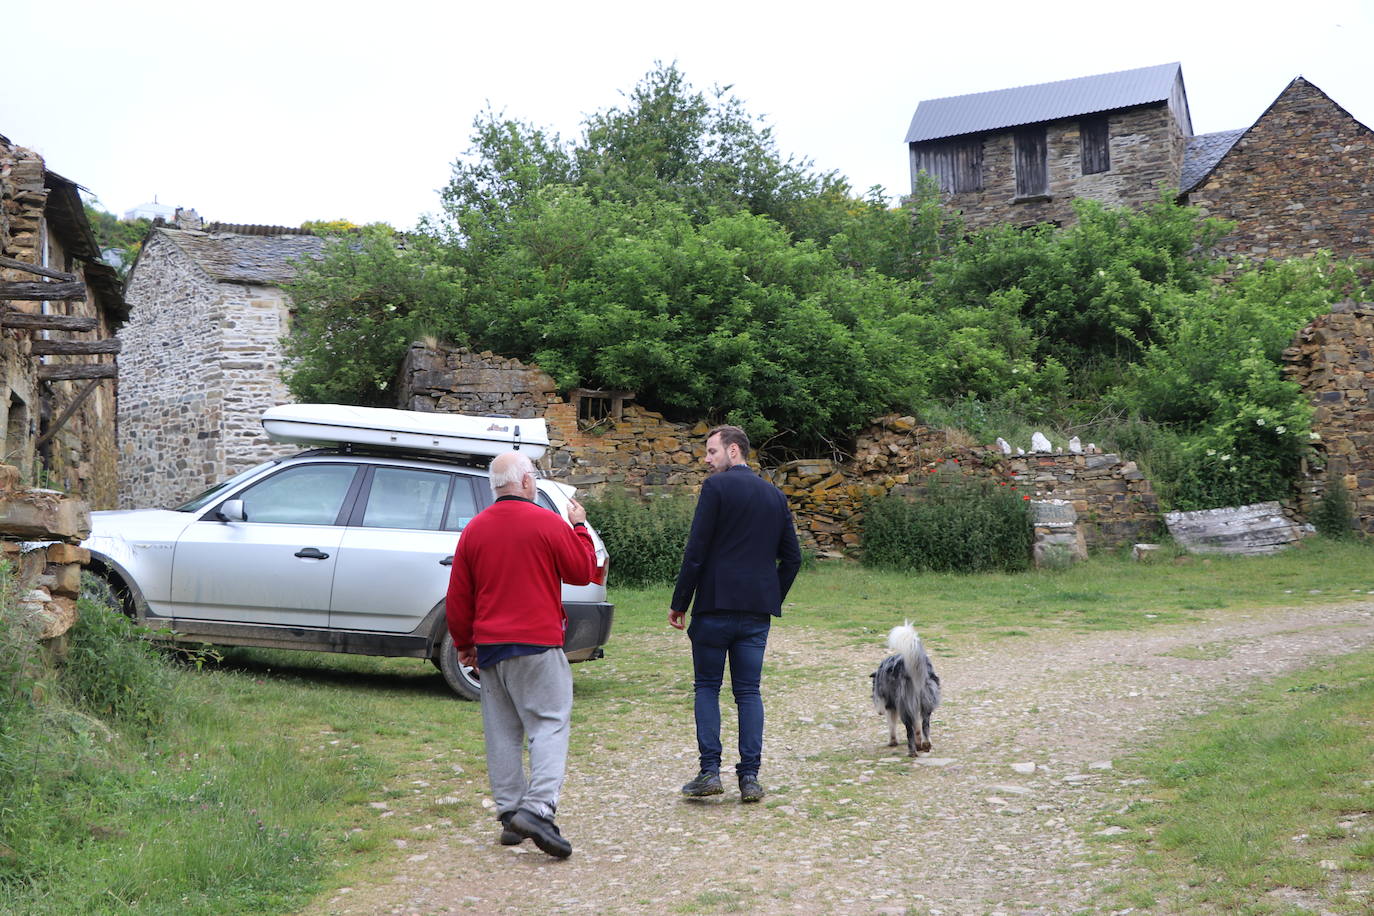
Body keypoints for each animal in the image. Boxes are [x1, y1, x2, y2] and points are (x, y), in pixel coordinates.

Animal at [873, 623, 939, 758]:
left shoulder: (891, 706)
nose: (879, 712)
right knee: (925, 725)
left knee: (909, 731)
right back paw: (926, 744)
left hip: (905, 706)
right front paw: (919, 744)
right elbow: (917, 726)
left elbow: (892, 725)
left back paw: (912, 752)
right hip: (926, 703)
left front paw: (892, 742)